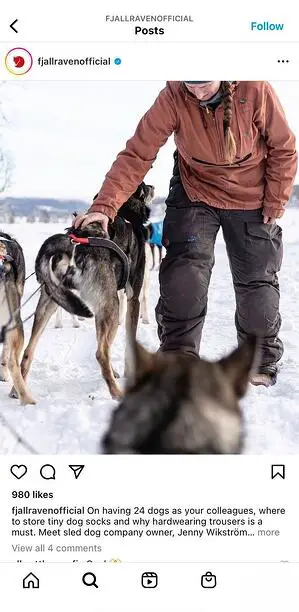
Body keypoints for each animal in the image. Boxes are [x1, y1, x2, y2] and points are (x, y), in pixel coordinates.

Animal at [19, 182, 155, 402]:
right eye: (143, 187)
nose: (153, 186)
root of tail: (73, 243)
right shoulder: (132, 298)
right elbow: (127, 341)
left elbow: (110, 339)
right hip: (110, 306)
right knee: (100, 353)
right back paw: (116, 393)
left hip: (51, 302)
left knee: (28, 350)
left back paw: (17, 391)